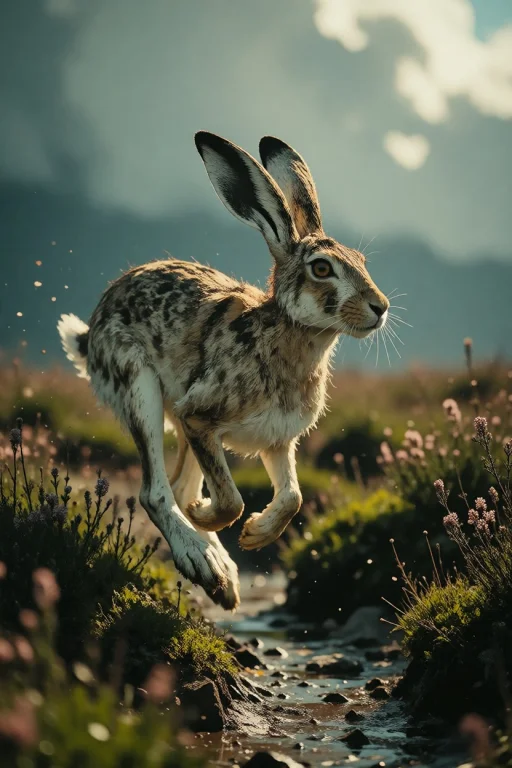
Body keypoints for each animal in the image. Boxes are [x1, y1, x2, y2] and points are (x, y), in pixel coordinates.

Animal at [58, 131, 389, 611]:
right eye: (322, 269)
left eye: (362, 261)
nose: (380, 307)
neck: (290, 335)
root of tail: (92, 329)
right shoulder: (199, 417)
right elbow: (231, 500)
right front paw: (216, 520)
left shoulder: (277, 440)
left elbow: (293, 497)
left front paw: (255, 535)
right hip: (141, 387)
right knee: (156, 491)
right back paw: (202, 559)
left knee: (179, 486)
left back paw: (223, 575)